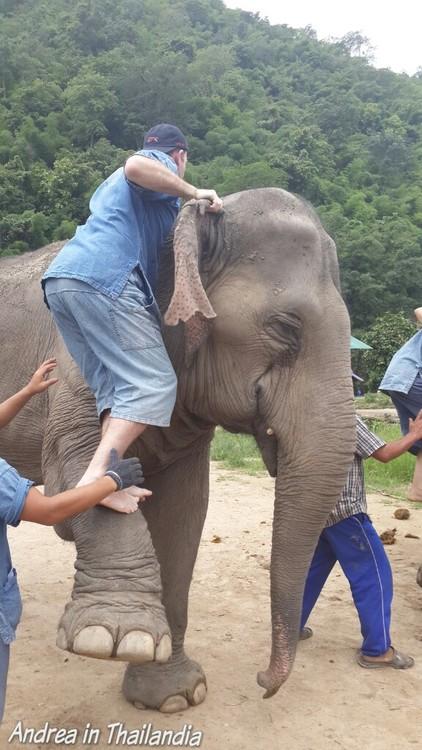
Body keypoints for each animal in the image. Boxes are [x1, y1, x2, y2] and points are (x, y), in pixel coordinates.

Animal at [0, 187, 356, 712]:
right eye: (286, 328)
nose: (263, 682)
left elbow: (183, 511)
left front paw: (173, 696)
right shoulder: (84, 348)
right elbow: (74, 470)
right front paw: (110, 637)